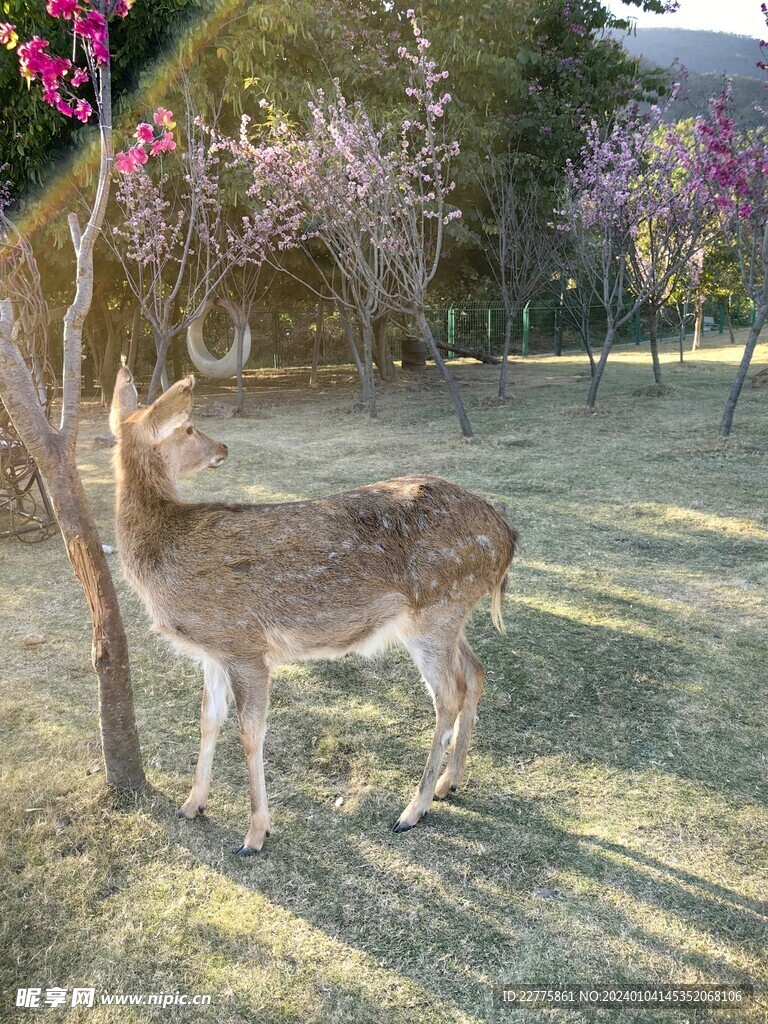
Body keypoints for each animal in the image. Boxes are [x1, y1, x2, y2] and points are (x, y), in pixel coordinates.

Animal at [109, 370, 518, 856]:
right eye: (190, 429)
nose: (223, 448)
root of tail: (507, 536)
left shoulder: (245, 643)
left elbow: (250, 732)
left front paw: (255, 834)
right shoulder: (213, 648)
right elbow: (209, 720)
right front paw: (192, 804)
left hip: (434, 611)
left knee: (448, 696)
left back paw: (413, 810)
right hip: (450, 615)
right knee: (476, 671)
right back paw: (448, 783)